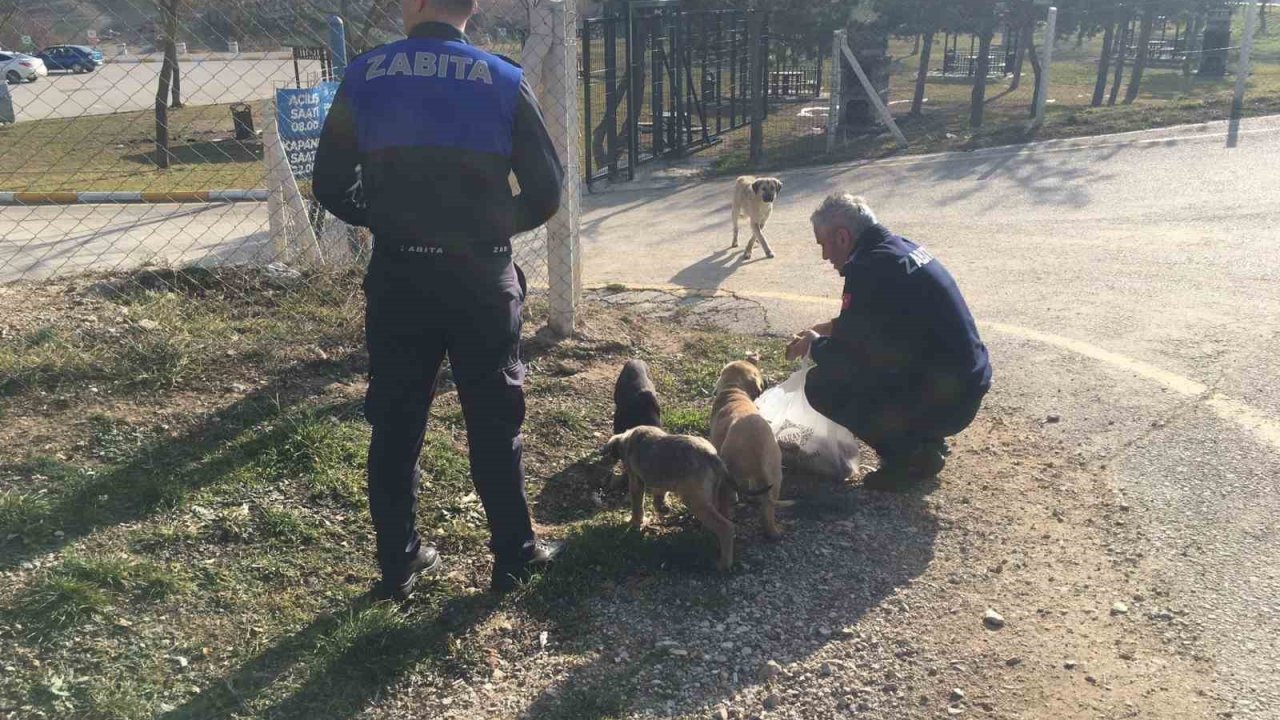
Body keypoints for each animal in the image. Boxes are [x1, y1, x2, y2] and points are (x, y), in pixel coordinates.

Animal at [601, 422, 768, 568]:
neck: (629, 438)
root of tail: (712, 456)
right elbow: (660, 492)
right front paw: (661, 507)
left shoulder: (636, 480)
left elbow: (637, 504)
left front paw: (635, 522)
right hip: (708, 495)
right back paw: (706, 534)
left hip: (694, 500)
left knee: (726, 528)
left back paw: (723, 564)